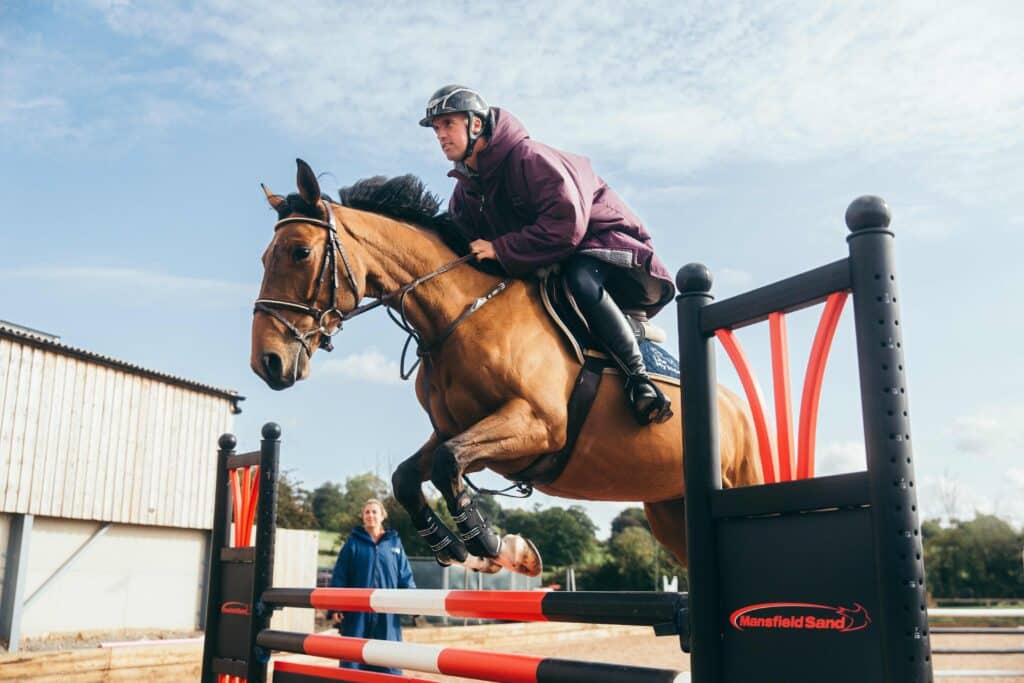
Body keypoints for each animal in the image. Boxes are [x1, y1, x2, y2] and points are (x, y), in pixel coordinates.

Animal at [247, 158, 761, 577]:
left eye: (300, 252)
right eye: (264, 256)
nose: (266, 362)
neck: (461, 314)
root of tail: (738, 407)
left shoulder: (537, 425)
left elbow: (447, 463)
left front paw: (497, 547)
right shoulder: (462, 429)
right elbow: (411, 476)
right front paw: (466, 549)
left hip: (738, 480)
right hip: (670, 509)